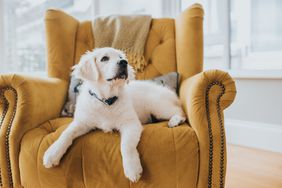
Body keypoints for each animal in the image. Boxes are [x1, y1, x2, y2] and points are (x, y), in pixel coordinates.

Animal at [43, 47, 186, 182]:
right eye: (104, 58)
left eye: (121, 57)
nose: (124, 62)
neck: (106, 101)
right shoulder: (82, 122)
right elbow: (66, 133)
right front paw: (52, 153)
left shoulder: (131, 123)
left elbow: (126, 146)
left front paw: (132, 169)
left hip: (157, 105)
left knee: (180, 111)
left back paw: (175, 120)